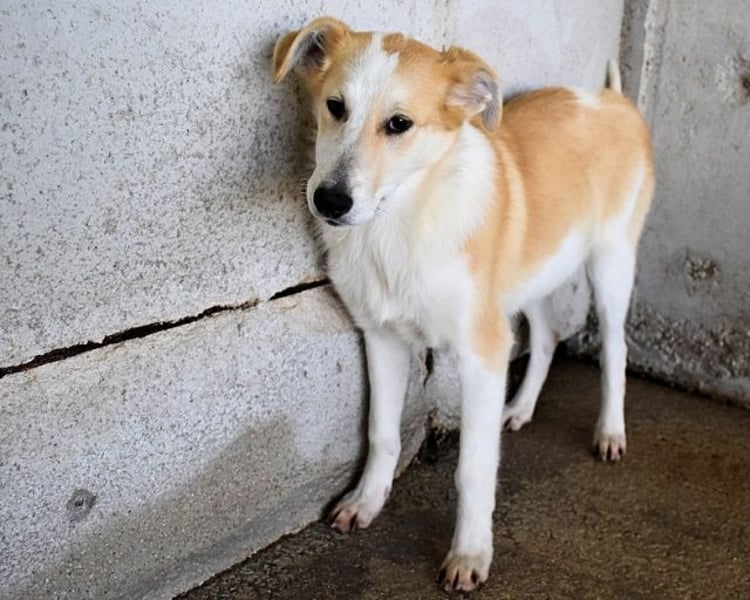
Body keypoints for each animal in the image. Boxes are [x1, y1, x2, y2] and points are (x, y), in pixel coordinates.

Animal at [273, 17, 653, 593]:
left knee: (614, 349)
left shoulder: (481, 352)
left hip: (611, 262)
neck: (400, 224)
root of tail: (611, 99)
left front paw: (470, 552)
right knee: (545, 337)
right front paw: (366, 501)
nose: (330, 201)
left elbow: (473, 468)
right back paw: (519, 408)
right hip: (528, 277)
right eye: (335, 106)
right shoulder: (382, 336)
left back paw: (610, 431)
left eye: (399, 124)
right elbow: (382, 433)